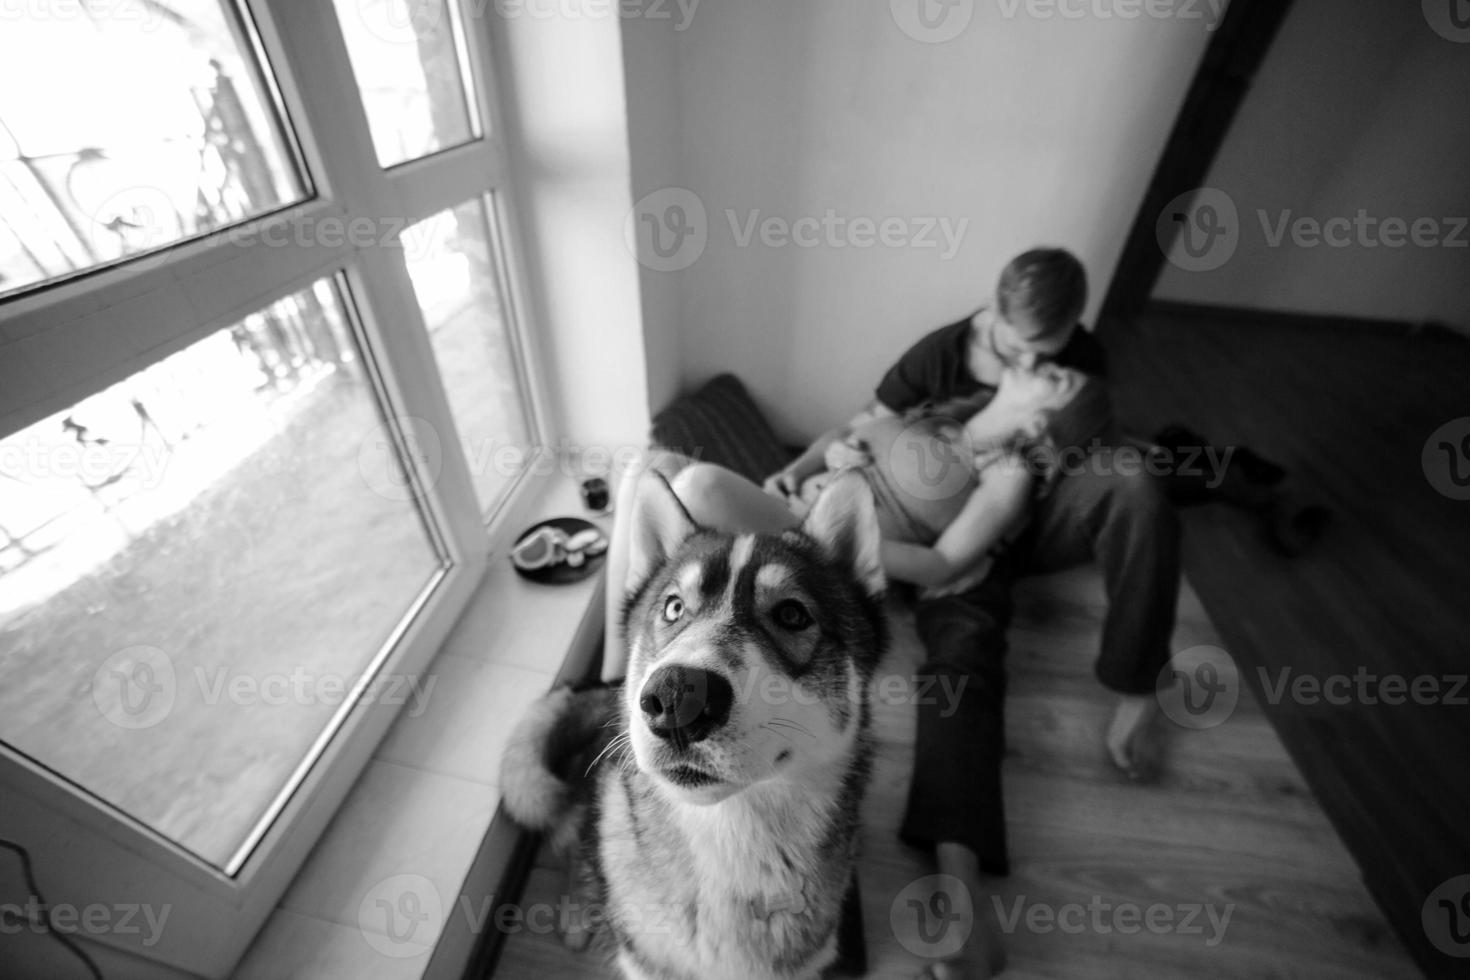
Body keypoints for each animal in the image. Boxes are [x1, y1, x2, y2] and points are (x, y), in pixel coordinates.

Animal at [499, 467, 882, 980]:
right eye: (674, 608)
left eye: (792, 614)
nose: (676, 696)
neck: (729, 835)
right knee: (572, 840)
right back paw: (578, 909)